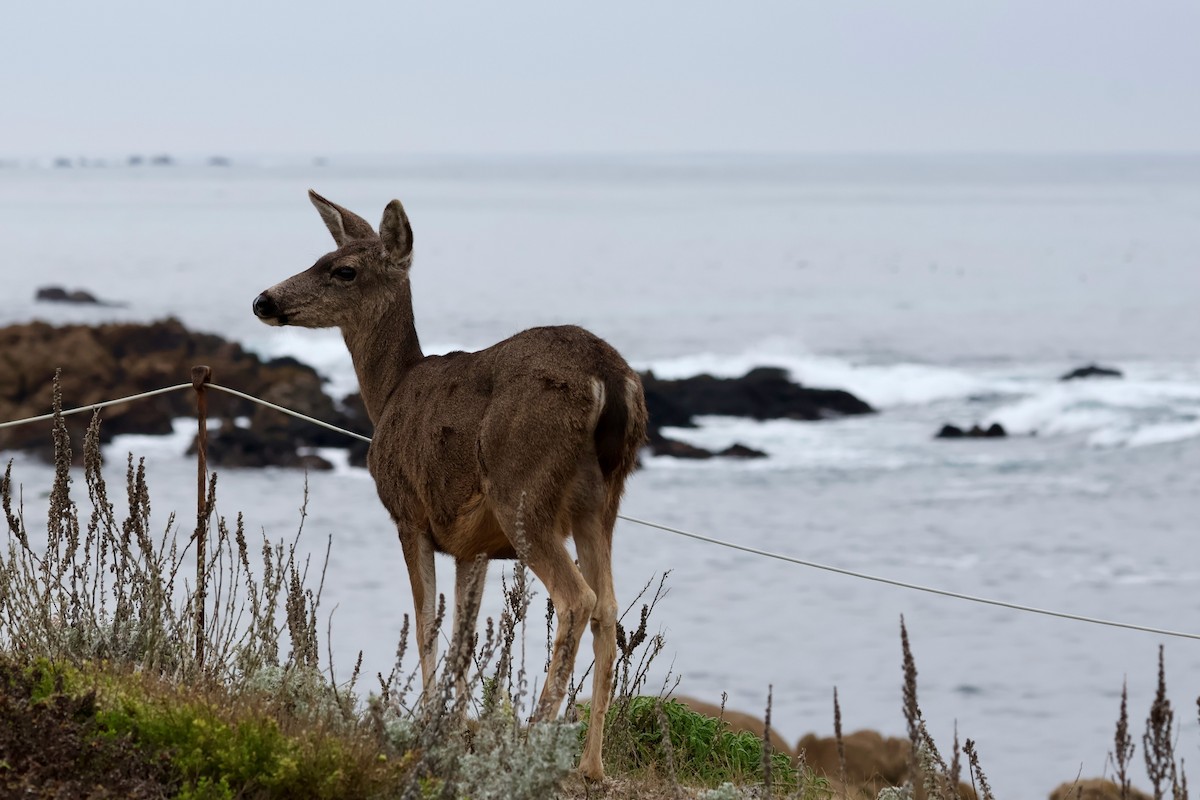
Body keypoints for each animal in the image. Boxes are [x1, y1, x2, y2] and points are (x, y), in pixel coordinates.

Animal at [252, 191, 648, 782]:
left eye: (343, 270)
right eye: (319, 257)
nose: (263, 300)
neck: (389, 394)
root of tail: (610, 376)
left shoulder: (408, 513)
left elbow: (424, 624)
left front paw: (430, 726)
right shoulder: (473, 546)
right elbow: (463, 634)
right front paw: (457, 724)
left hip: (522, 489)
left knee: (577, 598)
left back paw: (530, 744)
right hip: (602, 500)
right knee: (610, 609)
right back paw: (590, 765)